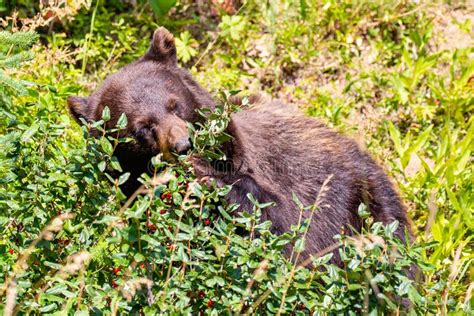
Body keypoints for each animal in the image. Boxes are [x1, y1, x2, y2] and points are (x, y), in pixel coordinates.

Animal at [68, 26, 412, 264]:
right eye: (142, 128)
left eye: (174, 104)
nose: (183, 145)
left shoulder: (288, 174)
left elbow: (291, 228)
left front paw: (209, 175)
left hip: (369, 198)